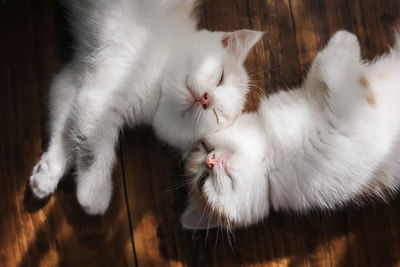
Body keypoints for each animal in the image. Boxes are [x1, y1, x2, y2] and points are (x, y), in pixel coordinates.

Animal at [29, 0, 264, 216]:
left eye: (216, 117)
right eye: (220, 78)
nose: (206, 100)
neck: (160, 88)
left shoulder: (77, 76)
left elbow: (69, 121)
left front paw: (47, 173)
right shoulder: (100, 92)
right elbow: (94, 147)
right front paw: (94, 193)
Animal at [183, 29, 400, 230]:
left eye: (205, 146)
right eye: (202, 181)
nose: (210, 160)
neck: (273, 150)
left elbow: (320, 72)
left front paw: (345, 42)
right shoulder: (354, 124)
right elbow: (336, 71)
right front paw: (345, 45)